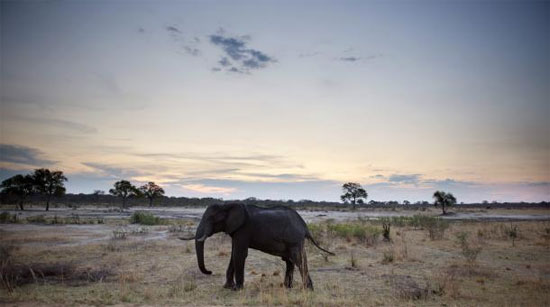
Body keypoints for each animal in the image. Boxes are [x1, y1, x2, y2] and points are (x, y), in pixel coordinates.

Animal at [182, 203, 336, 292]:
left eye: (211, 219)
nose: (210, 271)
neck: (228, 204)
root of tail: (305, 226)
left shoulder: (244, 229)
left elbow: (239, 254)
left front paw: (237, 290)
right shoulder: (236, 230)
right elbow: (234, 254)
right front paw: (227, 287)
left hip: (294, 240)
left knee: (298, 260)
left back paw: (308, 290)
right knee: (290, 261)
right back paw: (287, 287)